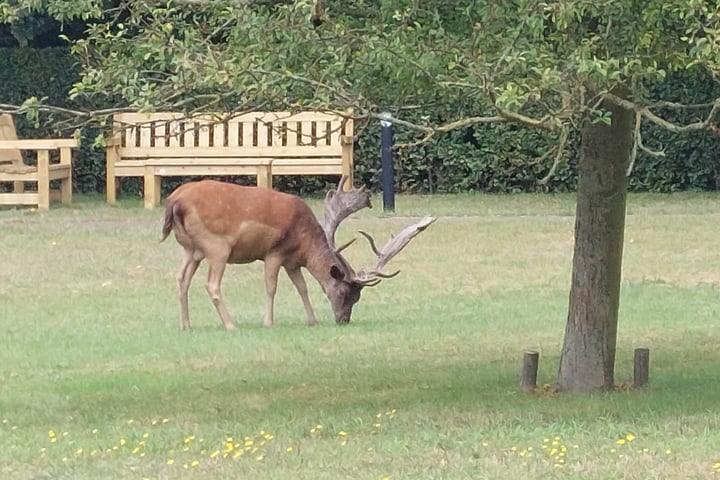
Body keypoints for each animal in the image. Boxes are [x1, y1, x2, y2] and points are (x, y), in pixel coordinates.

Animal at [161, 176, 436, 330]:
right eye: (346, 293)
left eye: (357, 298)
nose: (343, 321)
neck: (303, 242)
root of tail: (174, 202)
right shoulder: (274, 252)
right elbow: (271, 287)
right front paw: (268, 322)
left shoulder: (292, 261)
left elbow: (302, 287)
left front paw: (312, 321)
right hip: (217, 246)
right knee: (212, 284)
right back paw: (230, 324)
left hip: (192, 249)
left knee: (181, 278)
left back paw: (186, 325)